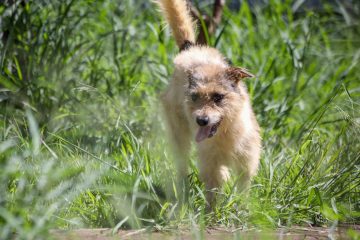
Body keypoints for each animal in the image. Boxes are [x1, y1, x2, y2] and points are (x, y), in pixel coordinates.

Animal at [158, 0, 262, 204]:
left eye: (218, 97)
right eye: (194, 97)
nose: (201, 121)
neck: (226, 133)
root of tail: (190, 48)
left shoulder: (246, 162)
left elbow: (243, 190)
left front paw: (243, 209)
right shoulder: (211, 164)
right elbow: (213, 192)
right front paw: (211, 211)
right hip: (178, 134)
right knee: (182, 163)